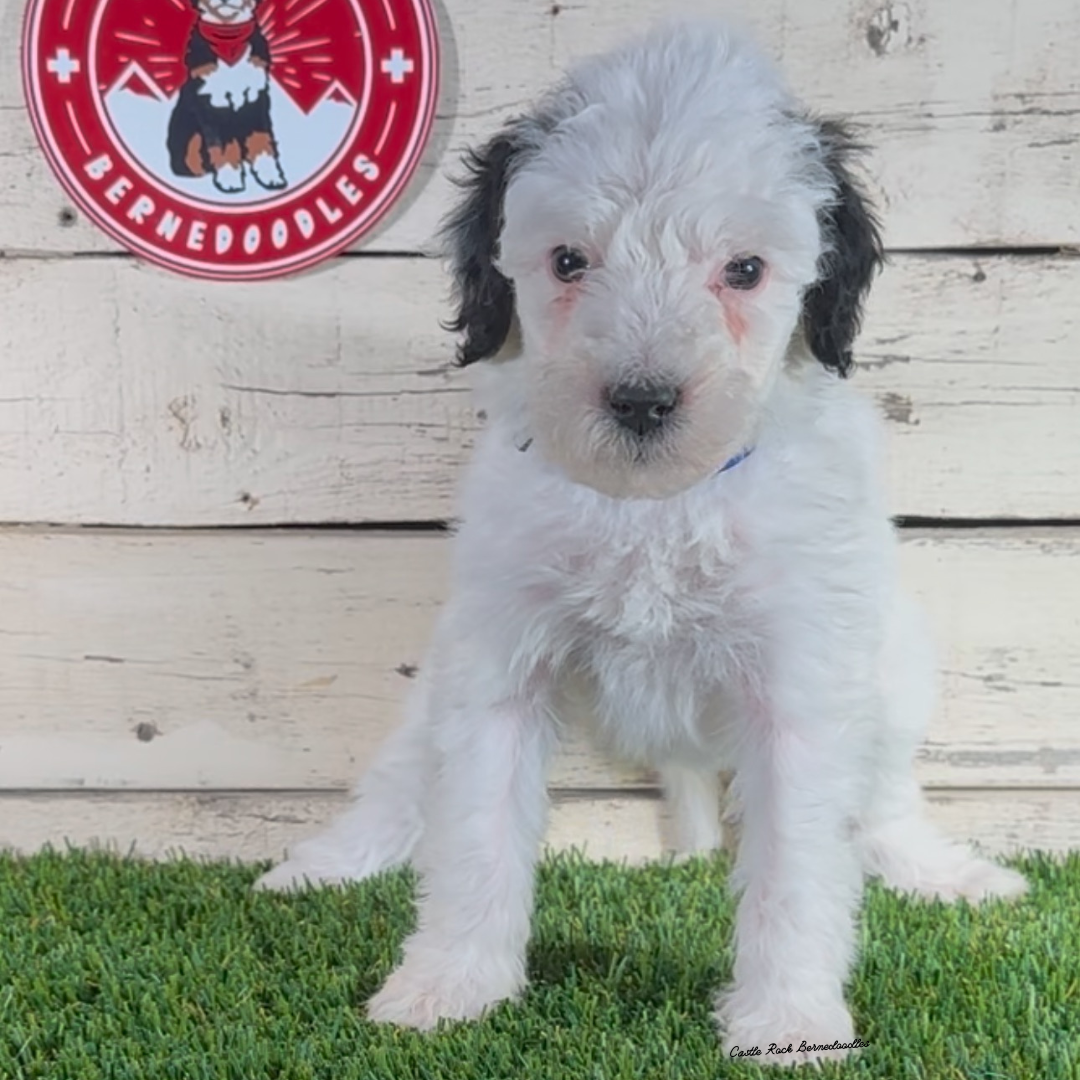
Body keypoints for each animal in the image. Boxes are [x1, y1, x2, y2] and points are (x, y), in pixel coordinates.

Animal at [257, 21, 1023, 1067]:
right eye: (568, 261)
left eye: (745, 271)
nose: (642, 402)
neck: (652, 504)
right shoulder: (498, 660)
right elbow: (474, 834)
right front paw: (449, 987)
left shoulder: (800, 683)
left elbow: (799, 867)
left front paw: (789, 1024)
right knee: (402, 772)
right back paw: (321, 866)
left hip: (895, 664)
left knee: (889, 796)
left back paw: (947, 874)